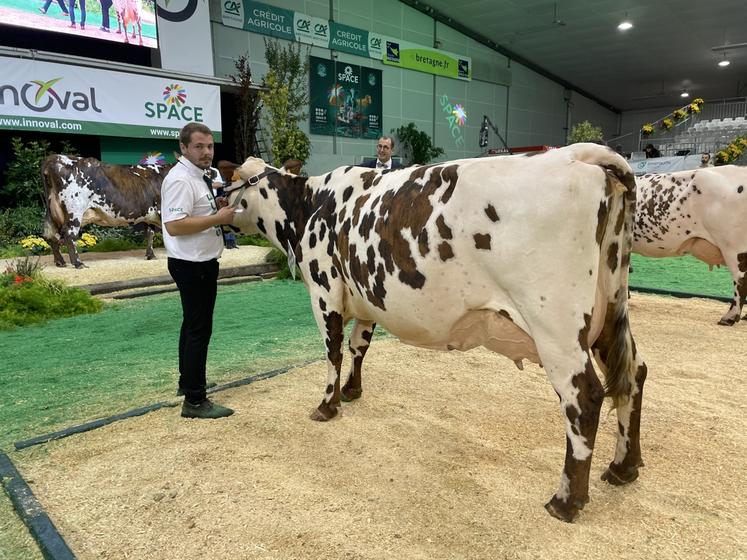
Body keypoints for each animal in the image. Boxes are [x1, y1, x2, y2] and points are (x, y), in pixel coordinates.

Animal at [41, 153, 172, 266]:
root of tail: (55, 158)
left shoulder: (148, 215)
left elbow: (150, 234)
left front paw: (151, 255)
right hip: (75, 209)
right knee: (69, 234)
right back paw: (78, 263)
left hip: (53, 212)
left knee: (52, 236)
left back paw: (60, 262)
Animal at [231, 144, 652, 520]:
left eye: (236, 180)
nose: (221, 201)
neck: (310, 205)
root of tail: (580, 153)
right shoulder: (367, 299)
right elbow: (358, 346)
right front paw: (352, 391)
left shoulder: (325, 291)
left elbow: (333, 350)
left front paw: (326, 405)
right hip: (609, 310)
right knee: (633, 374)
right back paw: (623, 467)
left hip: (557, 325)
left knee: (585, 397)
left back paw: (565, 502)